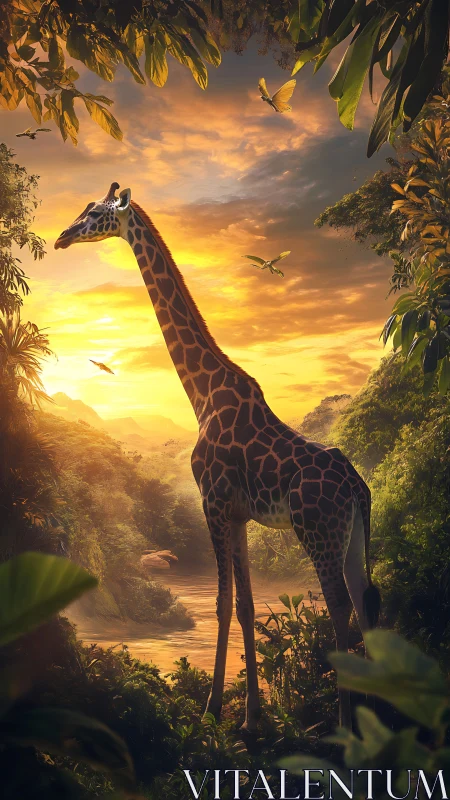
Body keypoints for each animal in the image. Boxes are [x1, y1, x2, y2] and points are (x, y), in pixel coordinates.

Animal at [55, 183, 381, 731]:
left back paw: (342, 726)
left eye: (95, 213)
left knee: (340, 609)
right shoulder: (239, 512)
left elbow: (223, 603)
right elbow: (246, 605)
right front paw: (251, 716)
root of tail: (357, 486)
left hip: (318, 532)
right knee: (367, 605)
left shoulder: (212, 500)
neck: (201, 392)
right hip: (354, 534)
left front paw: (210, 710)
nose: (60, 237)